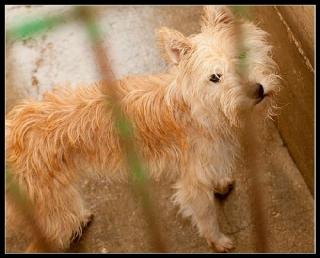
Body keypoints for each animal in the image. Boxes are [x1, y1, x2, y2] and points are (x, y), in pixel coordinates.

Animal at [5, 5, 280, 252]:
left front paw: (221, 184)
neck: (200, 111)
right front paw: (218, 240)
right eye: (215, 77)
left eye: (242, 55)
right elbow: (206, 217)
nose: (256, 90)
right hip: (51, 216)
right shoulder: (192, 186)